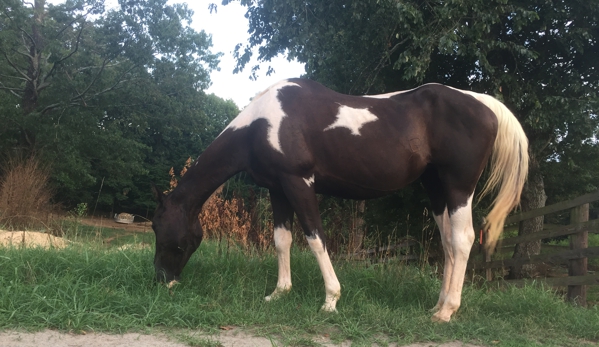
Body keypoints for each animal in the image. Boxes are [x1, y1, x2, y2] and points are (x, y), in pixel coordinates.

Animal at [151, 79, 528, 324]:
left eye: (159, 227)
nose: (161, 280)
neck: (265, 122)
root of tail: (485, 104)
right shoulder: (278, 189)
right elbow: (282, 240)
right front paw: (279, 293)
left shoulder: (299, 183)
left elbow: (315, 238)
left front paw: (331, 300)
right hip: (437, 189)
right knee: (449, 242)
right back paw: (437, 306)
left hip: (458, 187)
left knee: (463, 240)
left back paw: (448, 311)